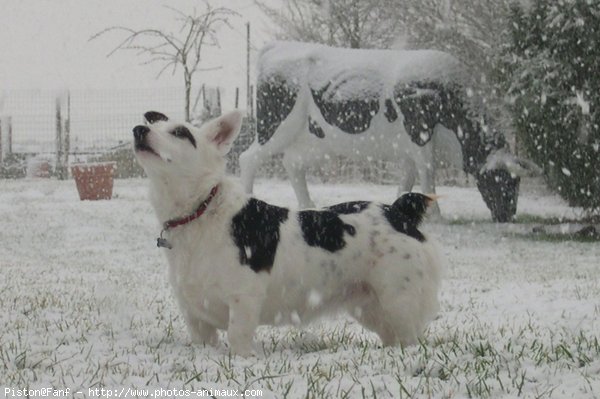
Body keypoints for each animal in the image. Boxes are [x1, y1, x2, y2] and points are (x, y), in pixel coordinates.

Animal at [134, 109, 442, 356]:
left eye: (180, 132)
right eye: (153, 124)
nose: (139, 129)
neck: (201, 208)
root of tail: (399, 211)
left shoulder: (243, 300)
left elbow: (238, 337)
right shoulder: (196, 316)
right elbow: (202, 342)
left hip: (399, 301)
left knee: (410, 340)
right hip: (372, 308)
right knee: (392, 337)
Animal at [240, 42, 536, 223]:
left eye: (517, 182)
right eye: (502, 180)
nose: (508, 216)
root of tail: (278, 46)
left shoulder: (408, 149)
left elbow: (408, 178)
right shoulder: (420, 133)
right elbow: (427, 174)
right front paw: (437, 217)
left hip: (314, 140)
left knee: (293, 164)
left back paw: (308, 206)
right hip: (276, 126)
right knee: (248, 158)